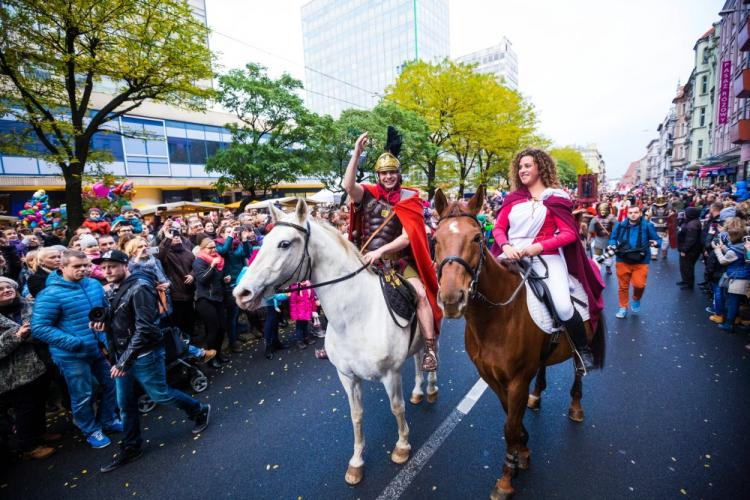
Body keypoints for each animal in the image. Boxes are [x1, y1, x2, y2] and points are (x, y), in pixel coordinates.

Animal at [232, 199, 438, 484]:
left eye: (284, 243)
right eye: (262, 242)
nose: (241, 293)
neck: (355, 317)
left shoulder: (390, 374)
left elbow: (397, 408)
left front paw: (402, 447)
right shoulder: (347, 376)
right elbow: (356, 415)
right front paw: (356, 462)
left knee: (431, 353)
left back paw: (430, 388)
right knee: (418, 358)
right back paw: (418, 390)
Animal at [434, 188, 604, 500]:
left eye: (477, 238)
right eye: (434, 240)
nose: (452, 299)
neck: (496, 317)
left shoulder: (516, 380)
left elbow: (510, 426)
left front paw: (506, 477)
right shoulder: (493, 378)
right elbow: (511, 420)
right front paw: (522, 451)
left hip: (581, 345)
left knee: (577, 370)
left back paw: (576, 407)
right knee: (543, 369)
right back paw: (537, 396)